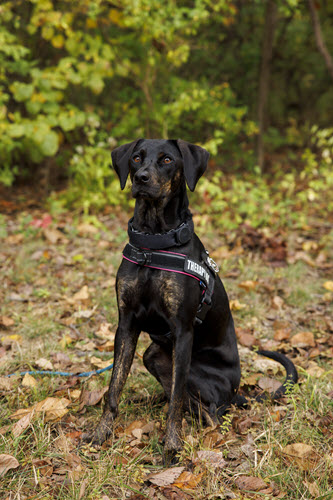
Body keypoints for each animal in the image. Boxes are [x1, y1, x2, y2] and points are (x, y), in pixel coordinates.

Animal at [84, 139, 296, 462]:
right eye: (136, 158)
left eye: (167, 160)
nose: (141, 179)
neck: (154, 242)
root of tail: (235, 392)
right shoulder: (126, 324)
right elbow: (114, 387)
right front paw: (100, 434)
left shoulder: (183, 330)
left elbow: (176, 400)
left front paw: (172, 445)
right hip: (153, 355)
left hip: (195, 373)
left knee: (207, 411)